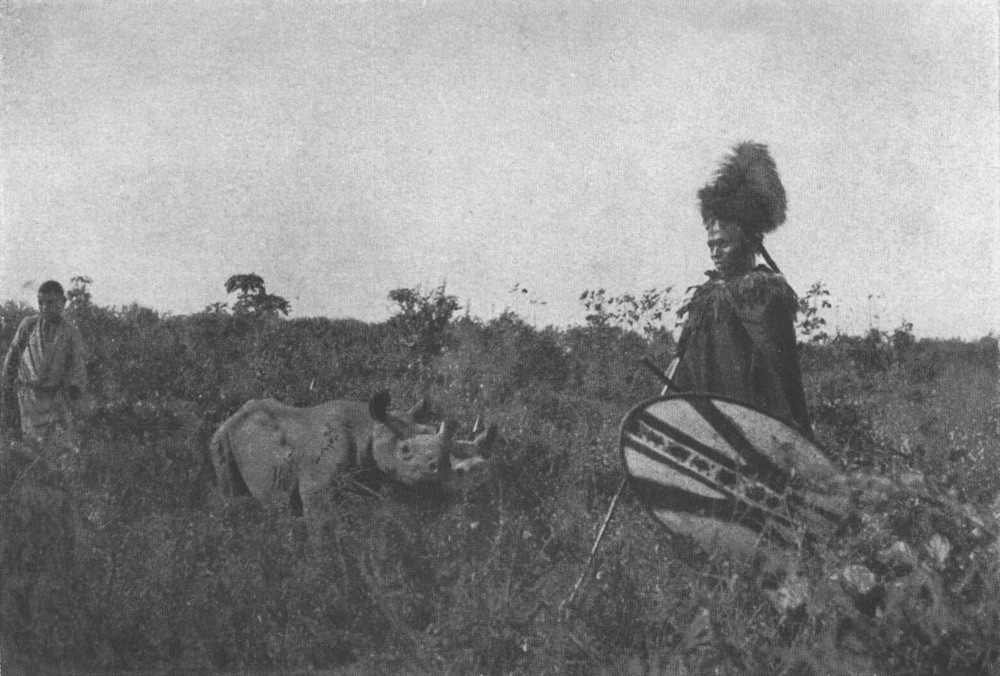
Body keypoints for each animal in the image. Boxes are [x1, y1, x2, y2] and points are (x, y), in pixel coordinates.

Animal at [210, 390, 496, 516]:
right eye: (404, 450)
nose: (441, 468)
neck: (367, 426)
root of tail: (232, 415)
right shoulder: (317, 487)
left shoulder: (376, 477)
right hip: (220, 438)